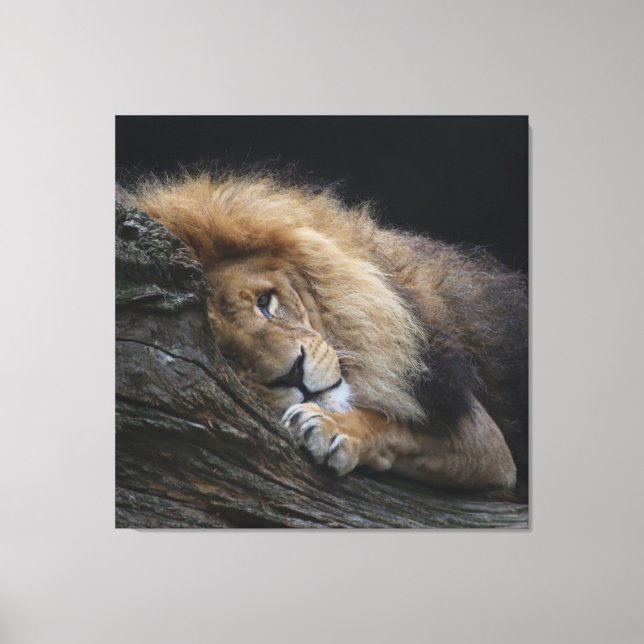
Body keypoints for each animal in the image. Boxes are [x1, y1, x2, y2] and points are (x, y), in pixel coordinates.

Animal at [129, 173, 528, 495]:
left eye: (264, 302)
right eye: (225, 354)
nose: (293, 373)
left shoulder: (481, 434)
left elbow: (394, 424)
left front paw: (330, 427)